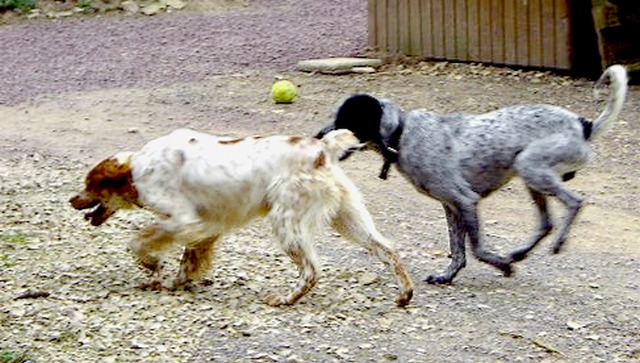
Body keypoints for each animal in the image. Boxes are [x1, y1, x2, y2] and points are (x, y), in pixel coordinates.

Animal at [318, 66, 628, 288]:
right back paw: (520, 252)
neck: (401, 134)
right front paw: (448, 275)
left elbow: (476, 249)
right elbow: (458, 250)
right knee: (546, 223)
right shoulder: (451, 207)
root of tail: (583, 125)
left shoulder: (465, 200)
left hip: (531, 168)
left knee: (575, 202)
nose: (318, 136)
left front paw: (502, 265)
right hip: (531, 178)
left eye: (344, 121)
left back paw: (556, 244)